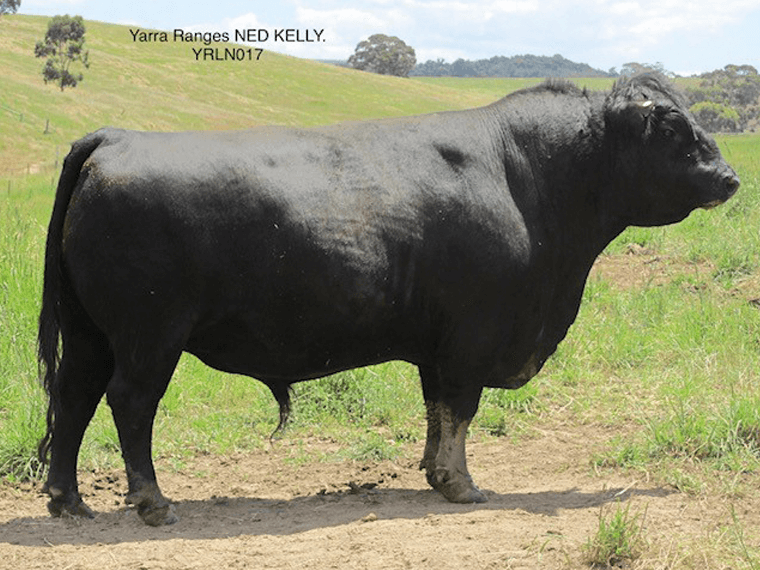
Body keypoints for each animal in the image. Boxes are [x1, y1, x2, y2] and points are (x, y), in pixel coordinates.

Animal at [35, 74, 736, 524]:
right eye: (673, 126)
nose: (729, 178)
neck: (526, 172)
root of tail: (116, 138)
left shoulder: (438, 342)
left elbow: (436, 411)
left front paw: (432, 473)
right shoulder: (472, 336)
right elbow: (460, 409)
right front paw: (461, 486)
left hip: (92, 334)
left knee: (73, 398)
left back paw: (69, 501)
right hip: (150, 336)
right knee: (129, 403)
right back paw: (152, 503)